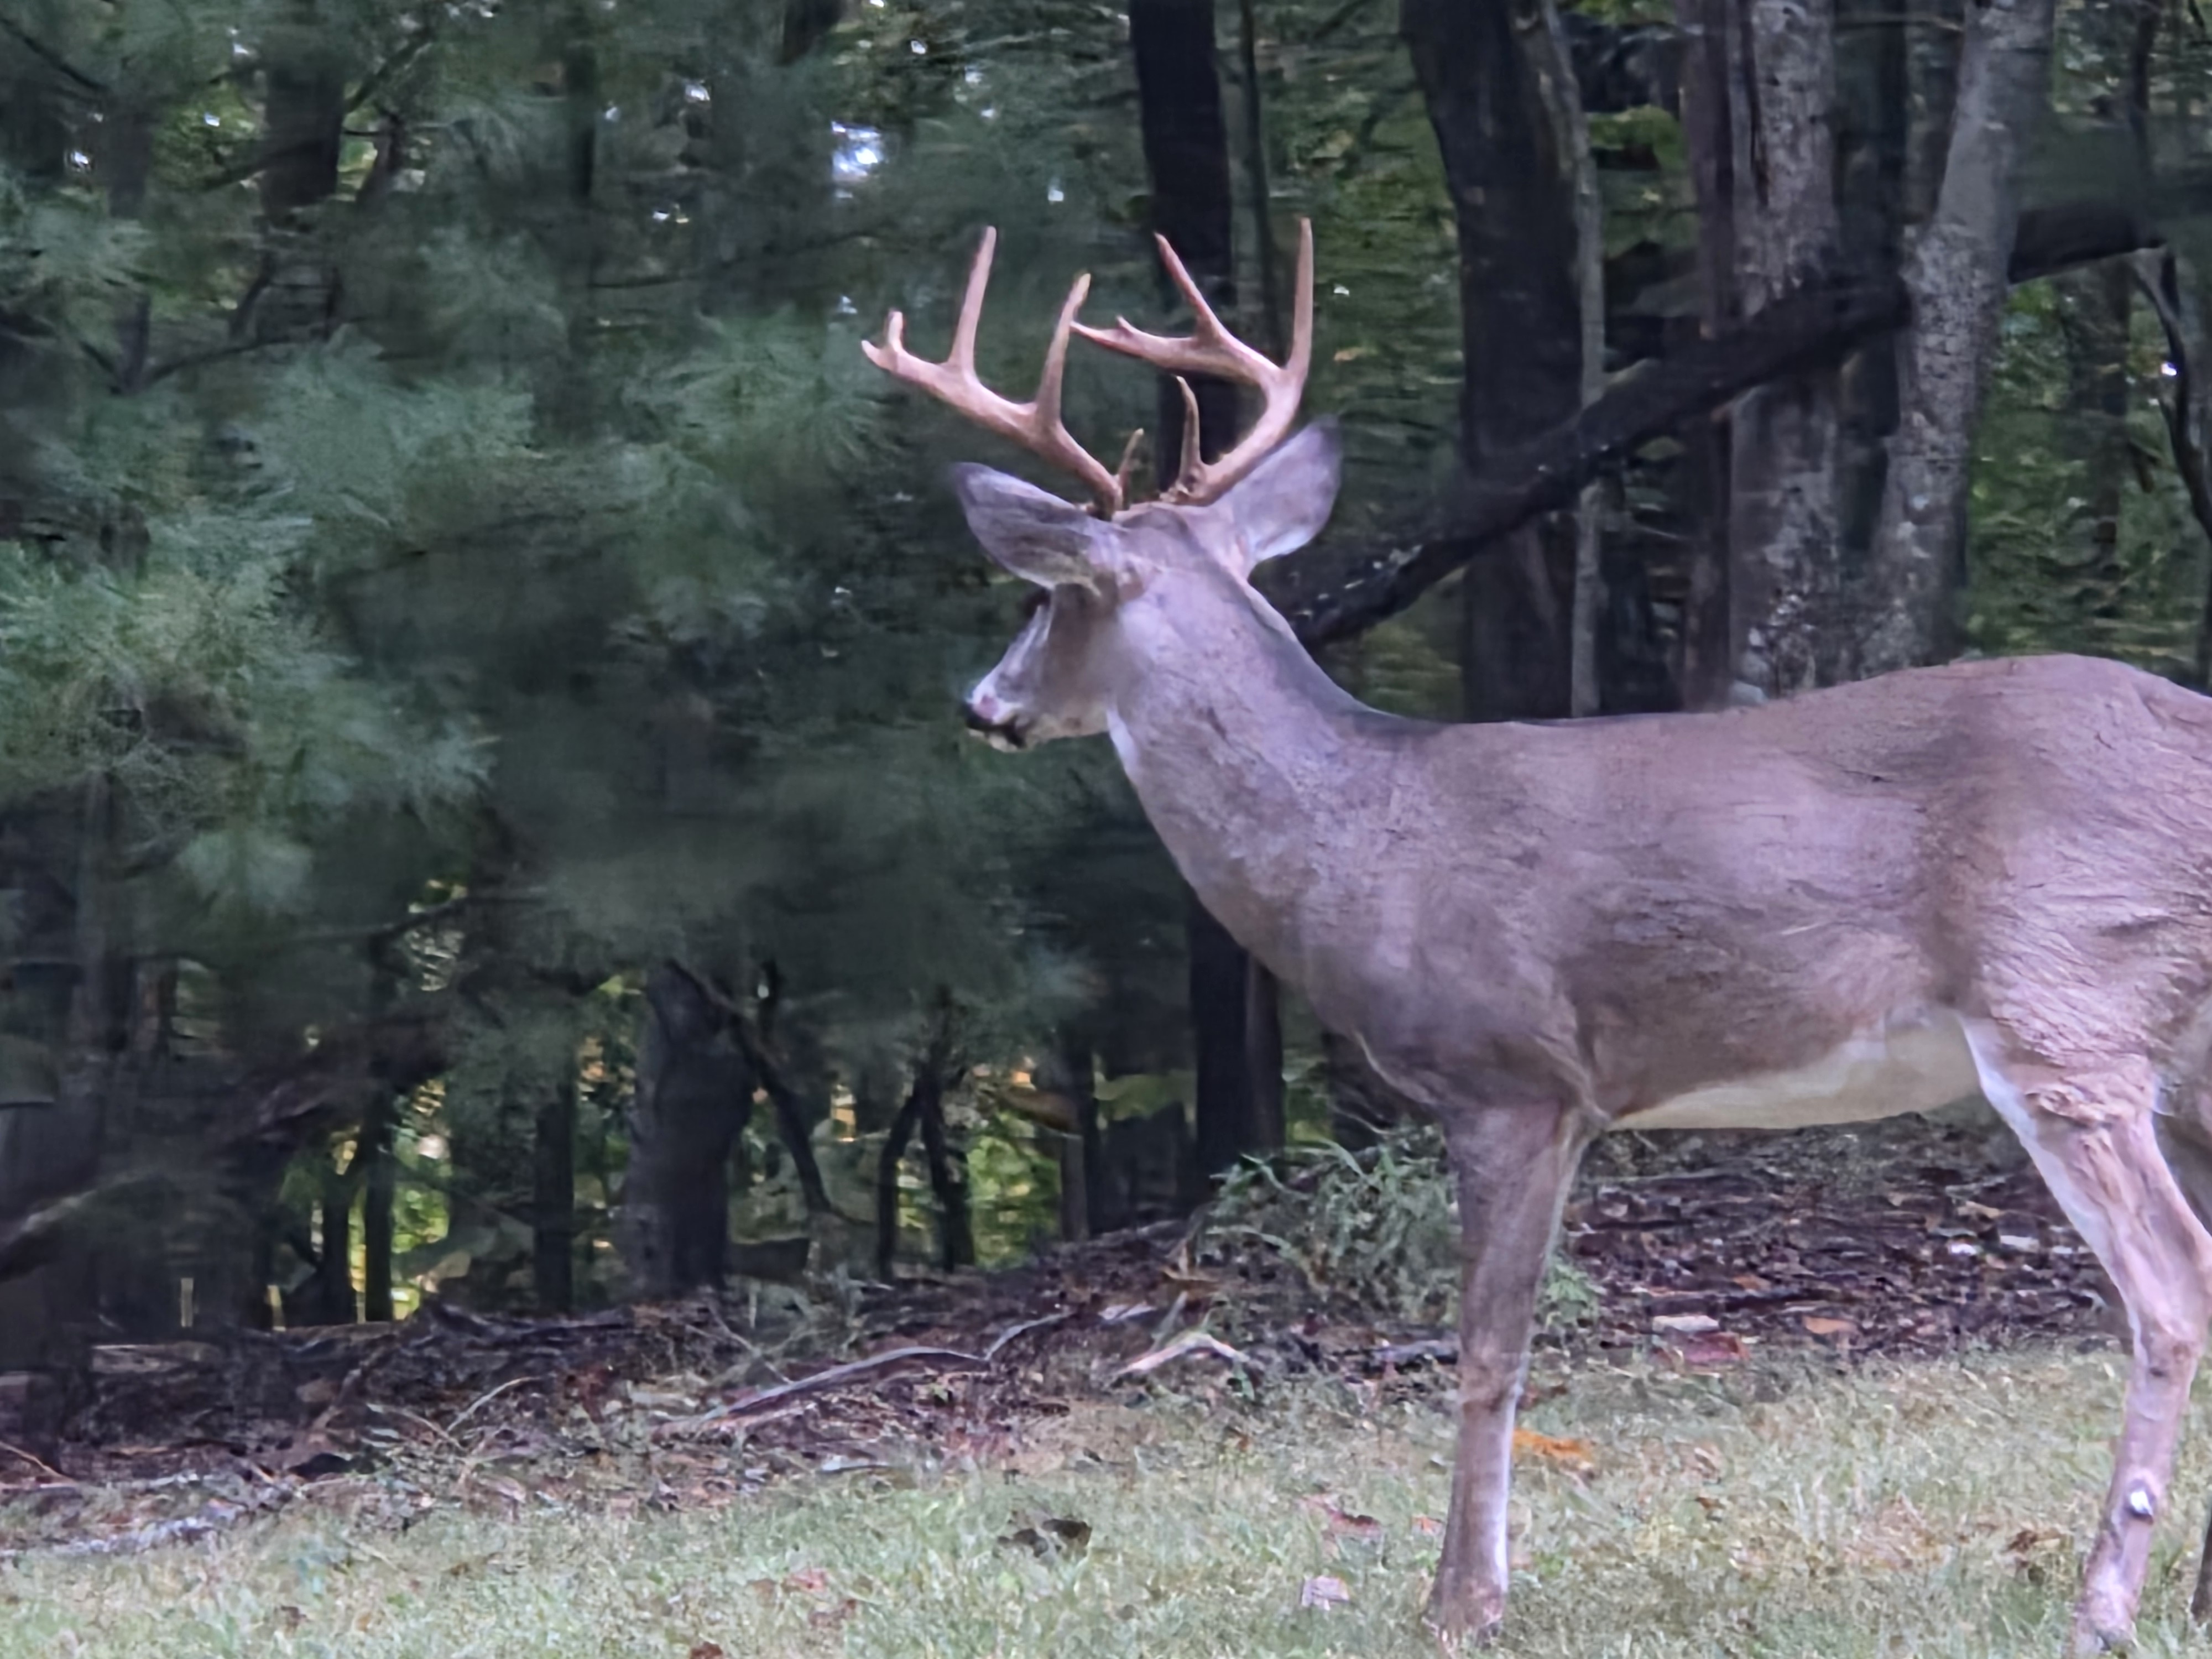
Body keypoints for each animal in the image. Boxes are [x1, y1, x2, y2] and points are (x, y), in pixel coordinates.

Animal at [864, 220, 2212, 1655]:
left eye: (1044, 599)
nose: (984, 703)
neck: (1362, 842)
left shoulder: (1508, 1076)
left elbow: (1487, 1349)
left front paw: (1459, 1598)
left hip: (2063, 999)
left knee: (2171, 1280)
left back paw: (2102, 1603)